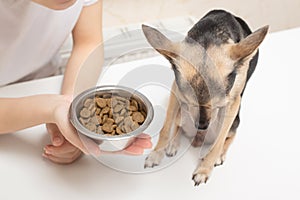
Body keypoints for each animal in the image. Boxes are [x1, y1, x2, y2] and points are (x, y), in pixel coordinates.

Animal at [142, 9, 268, 186]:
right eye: (190, 101)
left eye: (219, 103)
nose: (201, 126)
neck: (211, 34)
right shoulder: (177, 91)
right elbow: (166, 128)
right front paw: (156, 154)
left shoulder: (233, 102)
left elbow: (219, 142)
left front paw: (204, 169)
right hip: (181, 113)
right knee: (177, 125)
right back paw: (173, 143)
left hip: (234, 120)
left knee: (229, 135)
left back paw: (219, 154)